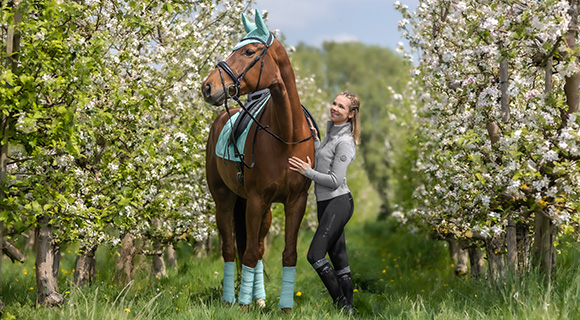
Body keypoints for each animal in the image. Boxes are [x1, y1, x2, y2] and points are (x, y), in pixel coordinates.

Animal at [202, 9, 314, 310]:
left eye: (249, 51)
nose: (207, 87)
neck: (286, 136)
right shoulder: (254, 200)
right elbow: (249, 253)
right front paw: (243, 306)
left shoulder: (295, 202)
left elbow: (288, 253)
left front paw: (285, 307)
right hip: (225, 200)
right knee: (231, 249)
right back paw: (231, 299)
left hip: (265, 210)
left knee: (260, 247)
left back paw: (260, 299)